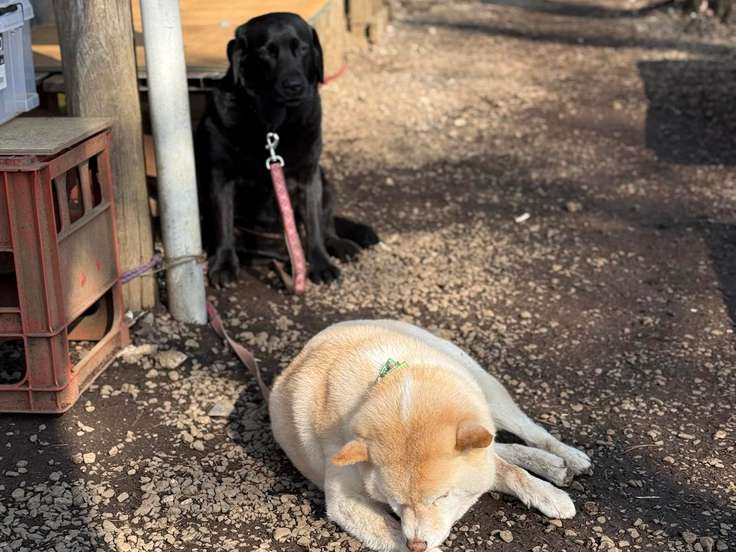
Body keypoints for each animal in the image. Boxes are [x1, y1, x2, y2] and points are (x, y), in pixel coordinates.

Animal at [195, 13, 379, 287]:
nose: (294, 85)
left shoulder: (308, 176)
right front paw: (224, 265)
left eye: (301, 48)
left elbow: (314, 224)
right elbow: (223, 223)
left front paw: (321, 265)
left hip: (325, 180)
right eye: (266, 52)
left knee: (326, 226)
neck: (273, 126)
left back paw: (339, 246)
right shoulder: (220, 177)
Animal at [269, 320, 592, 552]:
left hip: (487, 394)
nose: (417, 545)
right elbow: (392, 533)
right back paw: (554, 465)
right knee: (498, 446)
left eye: (441, 497)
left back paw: (566, 457)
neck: (394, 384)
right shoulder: (343, 502)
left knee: (529, 431)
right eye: (394, 502)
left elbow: (512, 473)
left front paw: (549, 495)